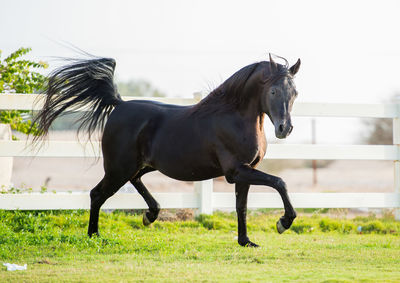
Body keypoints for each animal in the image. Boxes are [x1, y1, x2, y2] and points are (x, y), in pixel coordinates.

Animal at [34, 54, 300, 247]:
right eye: (274, 91)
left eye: (295, 93)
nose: (284, 129)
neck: (233, 117)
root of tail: (119, 104)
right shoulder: (236, 171)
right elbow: (280, 182)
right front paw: (283, 223)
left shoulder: (245, 171)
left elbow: (241, 207)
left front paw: (246, 242)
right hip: (118, 169)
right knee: (97, 194)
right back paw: (95, 236)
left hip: (141, 166)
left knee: (134, 181)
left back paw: (149, 215)